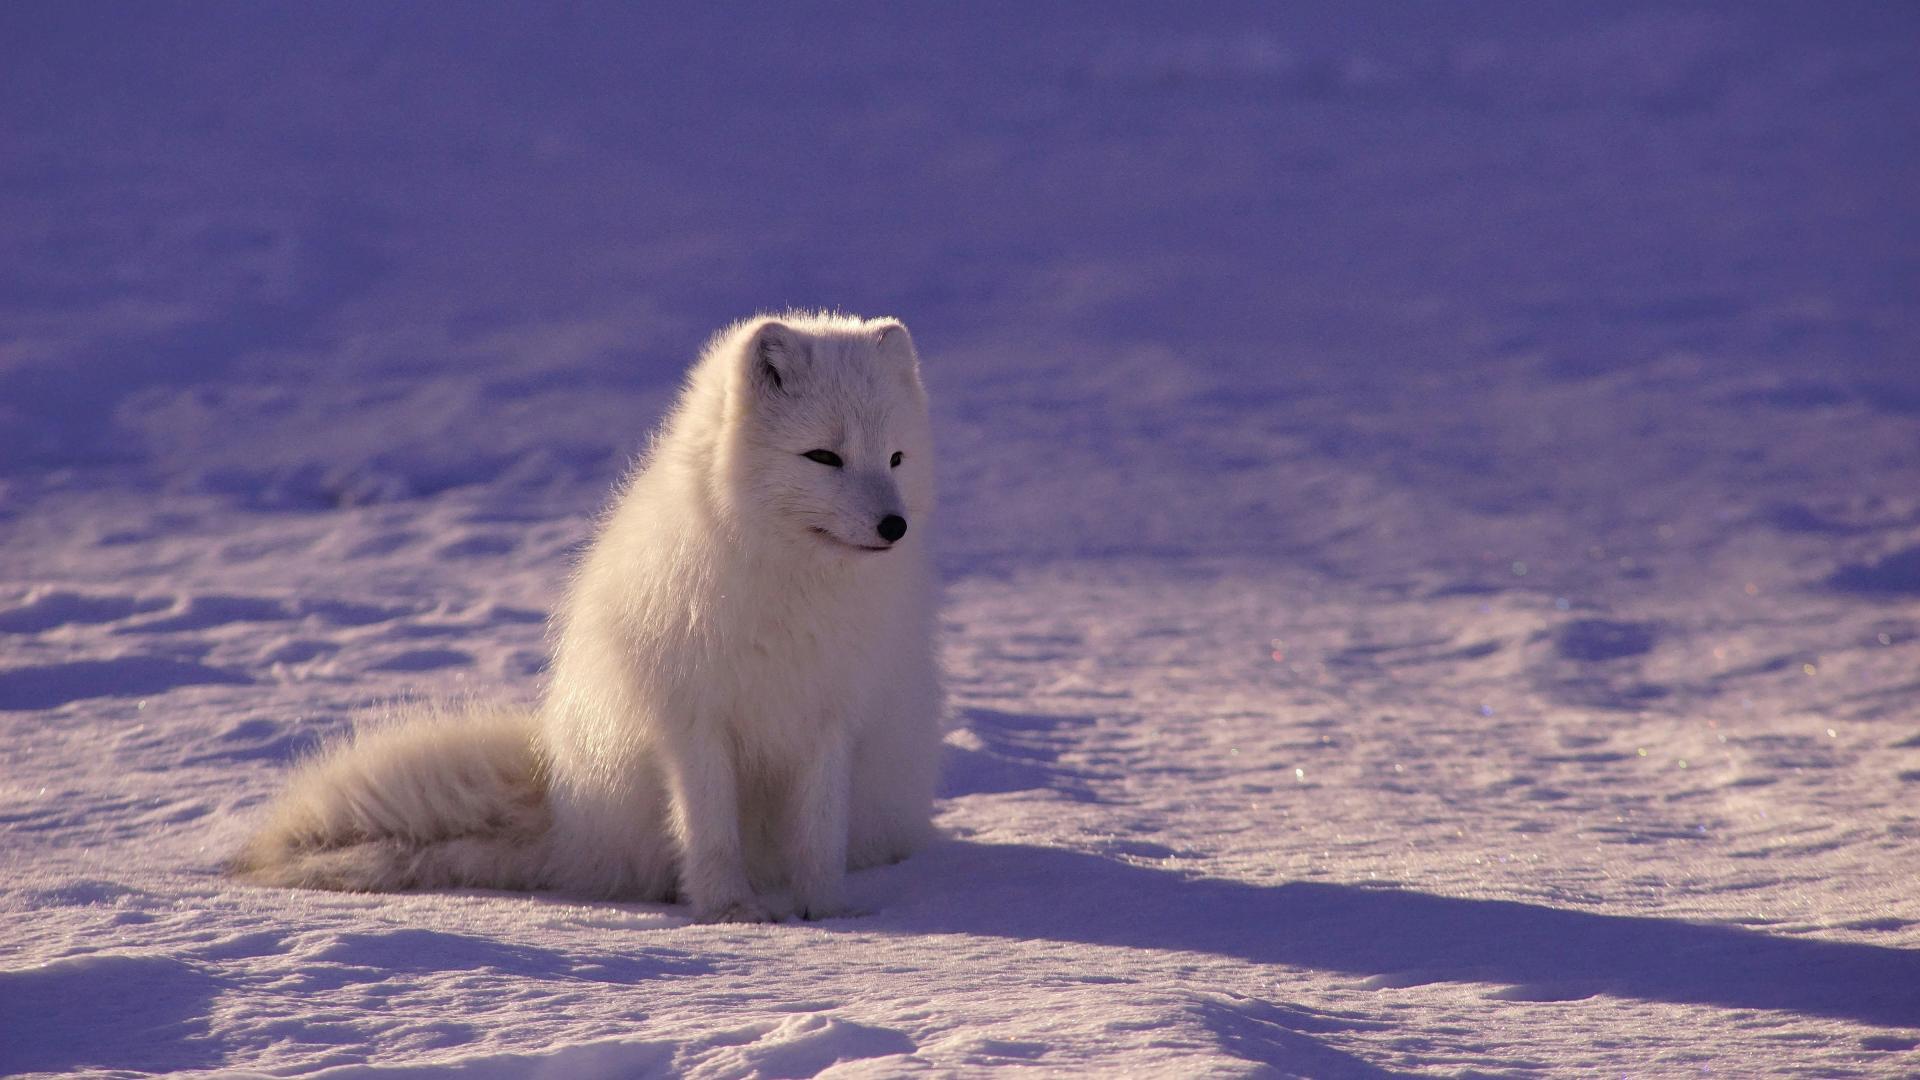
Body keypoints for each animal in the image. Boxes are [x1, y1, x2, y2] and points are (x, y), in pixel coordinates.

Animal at [232, 309, 944, 914]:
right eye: (824, 456)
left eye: (895, 457)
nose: (895, 526)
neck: (793, 588)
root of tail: (565, 817)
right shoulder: (693, 719)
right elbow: (710, 830)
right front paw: (730, 912)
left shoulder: (832, 719)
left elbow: (819, 837)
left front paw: (827, 914)